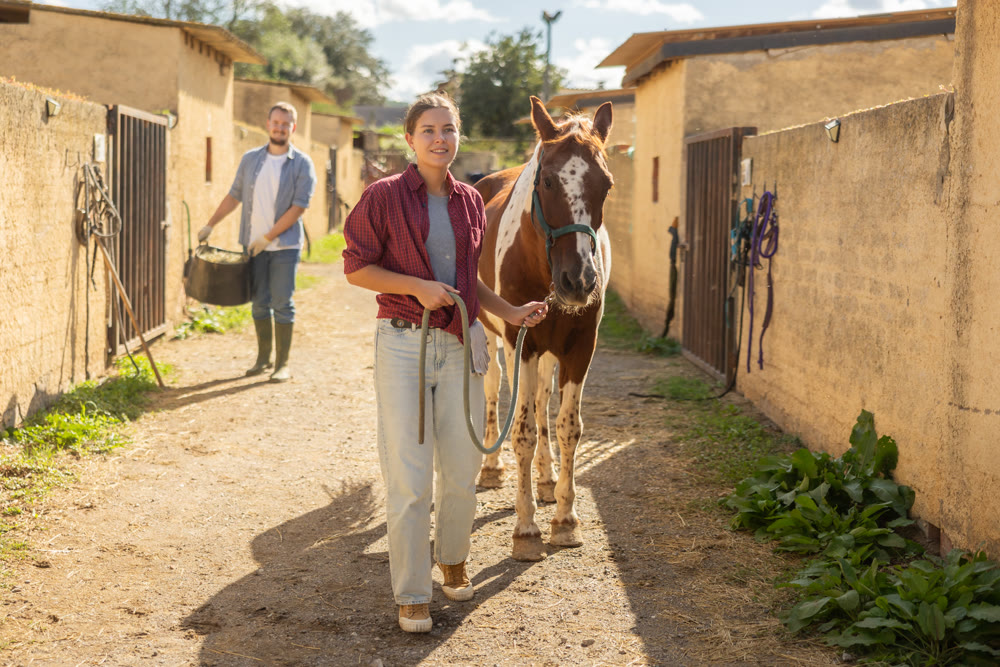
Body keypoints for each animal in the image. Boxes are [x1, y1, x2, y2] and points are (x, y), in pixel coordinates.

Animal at [475, 96, 613, 562]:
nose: (580, 280)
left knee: (540, 399)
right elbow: (522, 432)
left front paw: (565, 521)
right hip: (495, 337)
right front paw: (526, 528)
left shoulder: (578, 347)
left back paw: (547, 479)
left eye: (606, 184)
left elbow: (568, 428)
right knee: (495, 387)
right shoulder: (523, 343)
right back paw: (491, 468)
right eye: (549, 180)